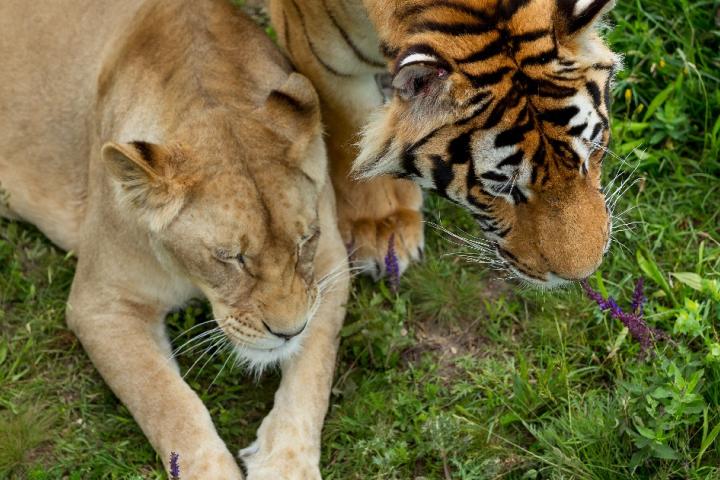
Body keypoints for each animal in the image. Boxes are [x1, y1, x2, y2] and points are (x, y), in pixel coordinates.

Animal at [0, 0, 349, 478]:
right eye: (230, 257)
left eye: (305, 241)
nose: (287, 331)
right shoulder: (102, 304)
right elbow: (165, 401)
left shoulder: (331, 263)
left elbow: (315, 363)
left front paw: (285, 463)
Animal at [269, 0, 619, 287]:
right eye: (502, 188)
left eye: (592, 151)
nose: (583, 276)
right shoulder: (324, 60)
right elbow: (349, 132)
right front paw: (381, 227)